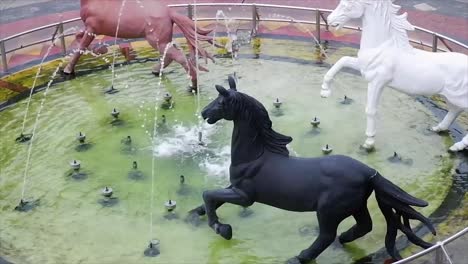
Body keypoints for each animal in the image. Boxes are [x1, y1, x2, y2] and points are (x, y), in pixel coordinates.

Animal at [63, 0, 215, 87]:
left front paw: (67, 70)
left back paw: (193, 83)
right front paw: (99, 50)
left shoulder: (92, 28)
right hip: (161, 41)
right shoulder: (91, 29)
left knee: (177, 56)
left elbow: (80, 47)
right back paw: (156, 71)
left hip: (156, 41)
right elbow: (78, 38)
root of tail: (169, 12)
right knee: (170, 56)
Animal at [189, 75, 436, 262]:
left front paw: (222, 229)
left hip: (328, 210)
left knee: (327, 235)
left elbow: (209, 195)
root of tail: (370, 172)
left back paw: (301, 256)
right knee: (363, 226)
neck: (255, 155)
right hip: (355, 205)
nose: (204, 113)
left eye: (221, 102)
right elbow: (212, 197)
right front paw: (194, 214)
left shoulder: (245, 196)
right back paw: (345, 239)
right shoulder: (235, 187)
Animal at [322, 0, 468, 152]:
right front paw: (325, 91)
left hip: (459, 97)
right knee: (454, 110)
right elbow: (342, 60)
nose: (330, 19)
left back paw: (457, 146)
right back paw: (438, 129)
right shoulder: (364, 68)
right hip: (451, 97)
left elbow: (370, 110)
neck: (381, 47)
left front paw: (369, 142)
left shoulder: (377, 81)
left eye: (348, 5)